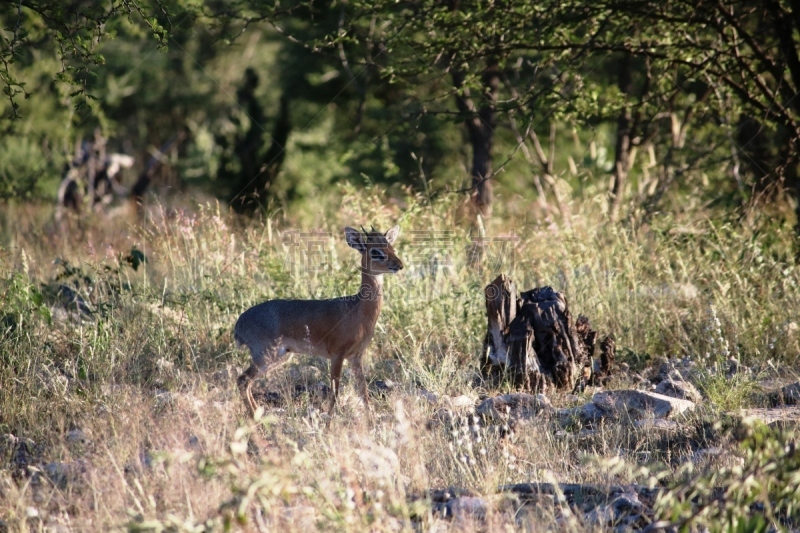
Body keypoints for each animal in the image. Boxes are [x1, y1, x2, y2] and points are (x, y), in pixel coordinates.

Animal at [234, 224, 404, 420]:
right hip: (266, 355)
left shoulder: (356, 356)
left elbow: (363, 391)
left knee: (246, 382)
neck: (358, 310)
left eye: (391, 247)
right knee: (242, 379)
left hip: (279, 356)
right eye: (375, 251)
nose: (399, 265)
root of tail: (239, 325)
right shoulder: (337, 354)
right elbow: (335, 393)